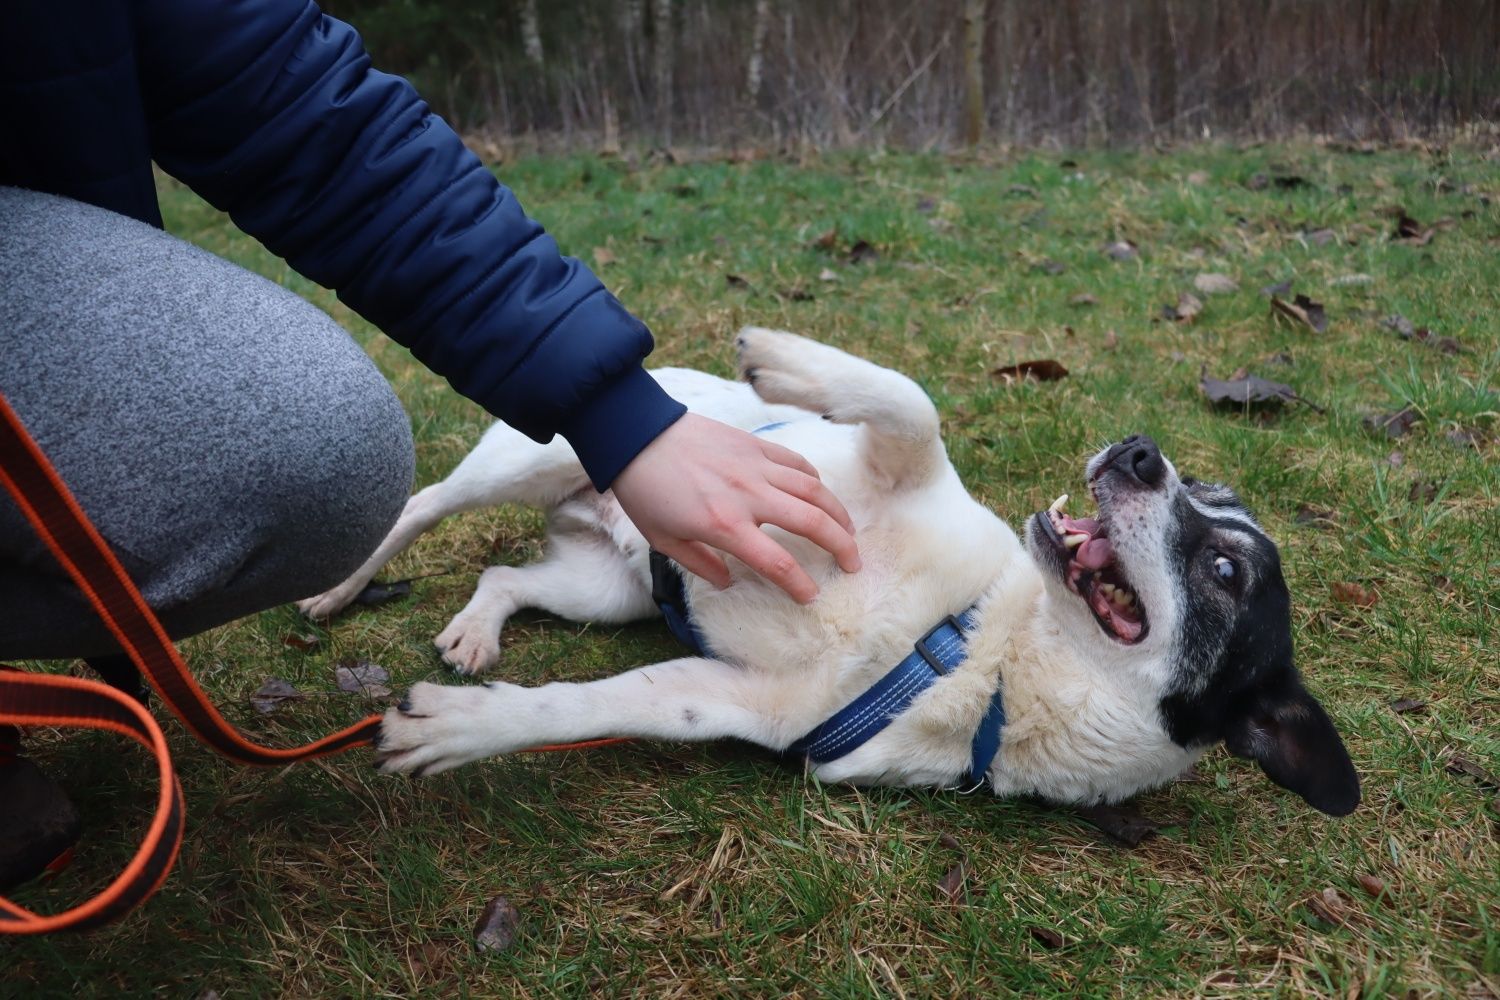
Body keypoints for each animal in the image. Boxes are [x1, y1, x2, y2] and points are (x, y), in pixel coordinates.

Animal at [301, 328, 1362, 815]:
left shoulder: (728, 698)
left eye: (1225, 567)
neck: (975, 650)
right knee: (420, 505)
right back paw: (336, 584)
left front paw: (463, 727)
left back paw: (474, 631)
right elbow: (909, 402)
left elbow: (583, 708)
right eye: (1204, 485)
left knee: (506, 579)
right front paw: (783, 361)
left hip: (604, 592)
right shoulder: (887, 468)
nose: (1143, 452)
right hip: (532, 458)